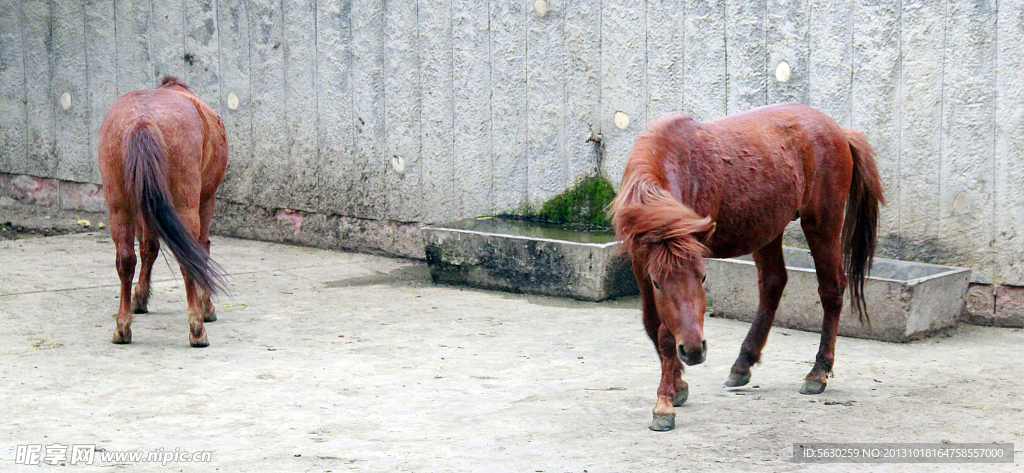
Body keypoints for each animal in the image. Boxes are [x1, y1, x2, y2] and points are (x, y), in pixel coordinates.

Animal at [98, 76, 228, 348]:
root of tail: (142, 121)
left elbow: (148, 248)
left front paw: (139, 298)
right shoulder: (206, 200)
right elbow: (201, 250)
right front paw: (207, 307)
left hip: (120, 207)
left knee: (125, 258)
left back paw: (122, 327)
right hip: (186, 203)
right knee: (188, 257)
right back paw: (197, 329)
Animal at [610, 103, 884, 432]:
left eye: (704, 277)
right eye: (657, 283)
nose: (694, 350)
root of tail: (840, 131)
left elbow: (664, 334)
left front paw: (664, 404)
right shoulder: (641, 265)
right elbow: (654, 326)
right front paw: (678, 386)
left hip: (821, 223)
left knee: (831, 290)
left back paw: (817, 372)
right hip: (768, 229)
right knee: (774, 283)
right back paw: (743, 364)